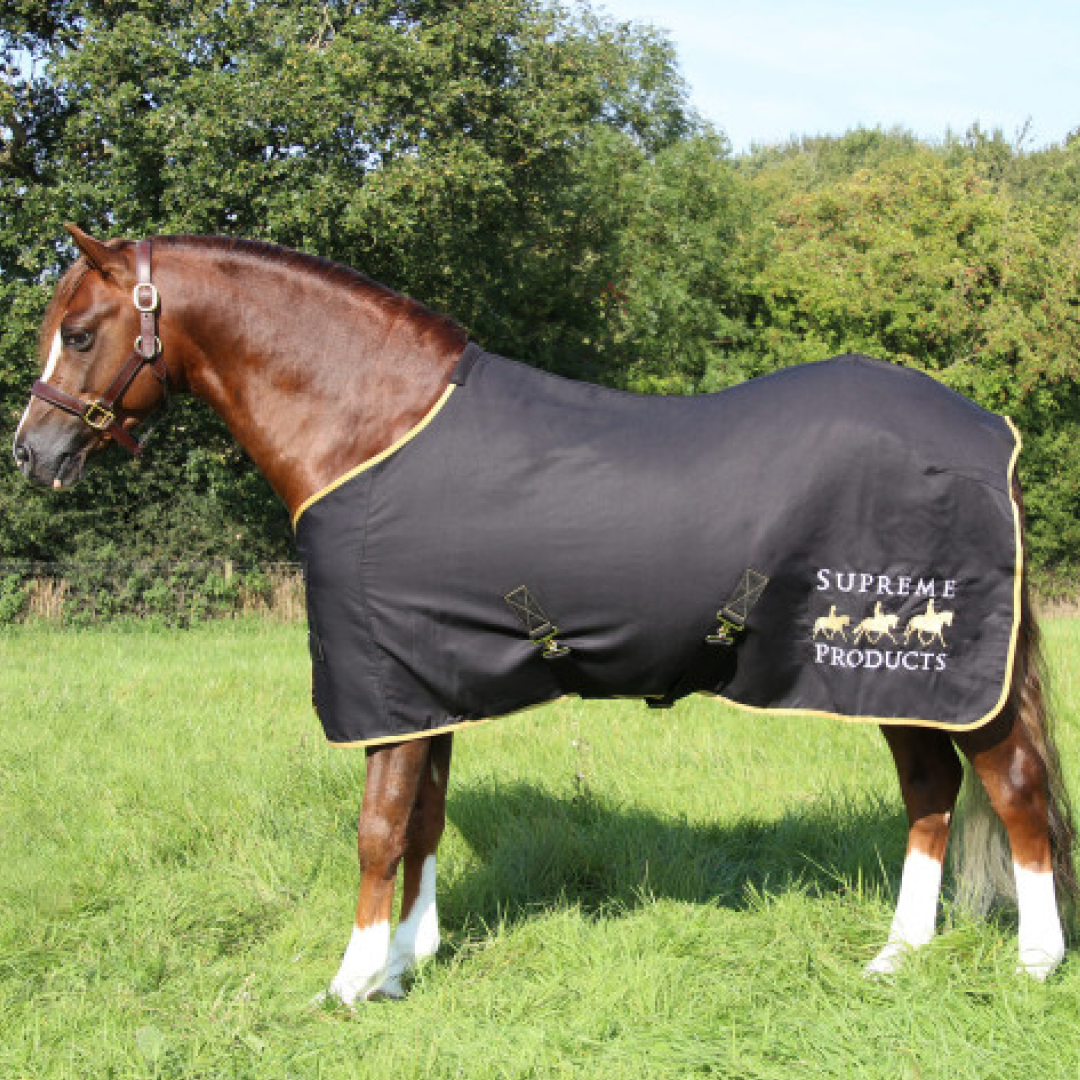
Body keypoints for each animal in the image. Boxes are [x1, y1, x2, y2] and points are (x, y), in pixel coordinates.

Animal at [13, 226, 1077, 1005]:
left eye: (80, 332)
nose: (33, 452)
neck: (373, 425)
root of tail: (992, 433)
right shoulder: (426, 682)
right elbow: (425, 822)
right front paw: (405, 966)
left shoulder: (385, 690)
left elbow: (378, 828)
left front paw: (348, 986)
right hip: (891, 684)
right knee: (932, 791)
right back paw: (898, 957)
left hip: (947, 682)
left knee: (1016, 790)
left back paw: (1035, 964)